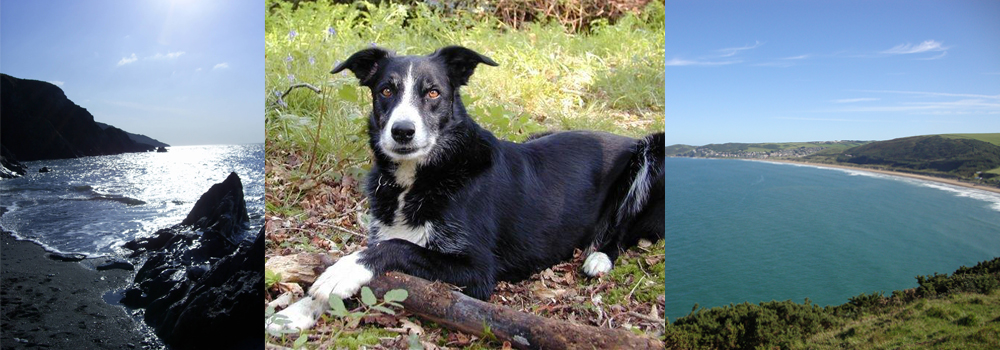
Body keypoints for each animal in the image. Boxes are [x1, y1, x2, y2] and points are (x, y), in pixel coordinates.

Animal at [268, 45, 664, 330]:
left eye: (433, 93)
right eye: (385, 90)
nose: (402, 131)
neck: (423, 175)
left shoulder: (477, 271)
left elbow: (396, 247)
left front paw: (342, 272)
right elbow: (383, 244)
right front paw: (299, 310)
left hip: (652, 152)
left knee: (623, 230)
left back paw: (599, 256)